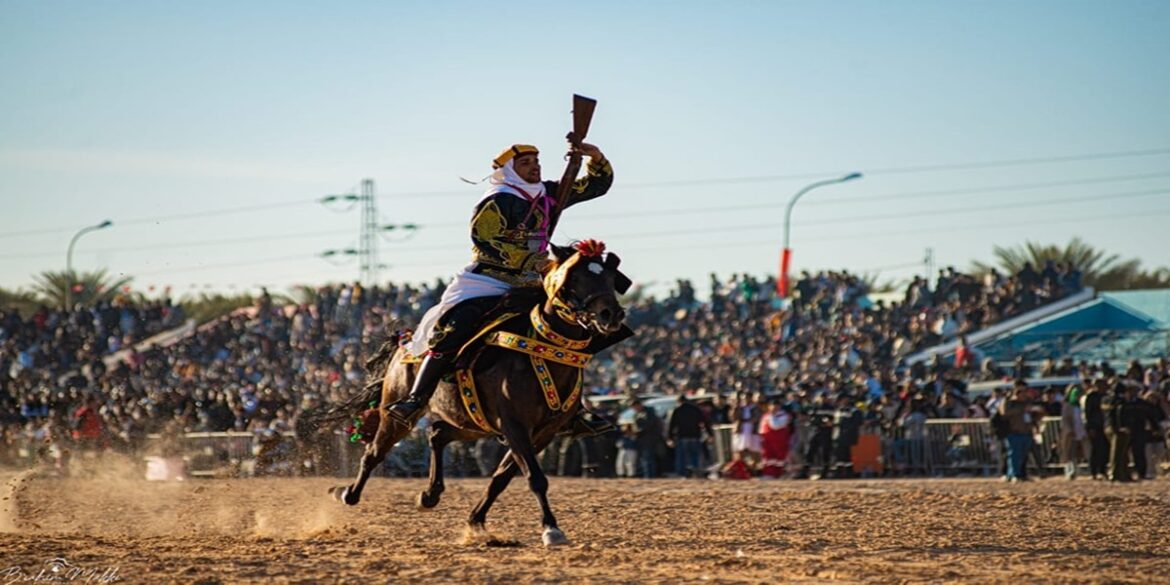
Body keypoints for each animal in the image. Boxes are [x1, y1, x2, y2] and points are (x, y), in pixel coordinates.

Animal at [325, 239, 631, 545]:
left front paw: (475, 520)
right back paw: (346, 493)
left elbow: (501, 477)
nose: (611, 314)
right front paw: (550, 528)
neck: (546, 353)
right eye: (575, 277)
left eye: (608, 276)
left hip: (472, 422)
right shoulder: (514, 425)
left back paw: (430, 494)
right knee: (374, 453)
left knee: (437, 433)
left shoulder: (543, 432)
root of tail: (406, 341)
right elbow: (534, 477)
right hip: (398, 414)